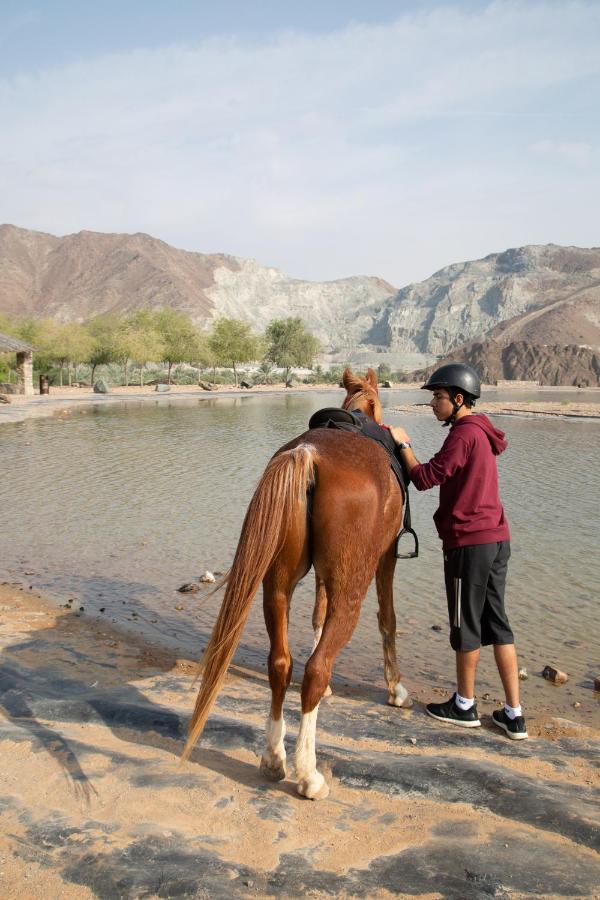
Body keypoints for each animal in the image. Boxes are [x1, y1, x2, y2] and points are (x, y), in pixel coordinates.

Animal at [183, 368, 408, 800]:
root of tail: (308, 454)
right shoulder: (387, 556)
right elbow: (387, 618)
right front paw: (395, 688)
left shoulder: (321, 573)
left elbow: (318, 614)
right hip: (351, 589)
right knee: (316, 668)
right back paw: (308, 774)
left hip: (276, 586)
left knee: (281, 664)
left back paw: (273, 758)